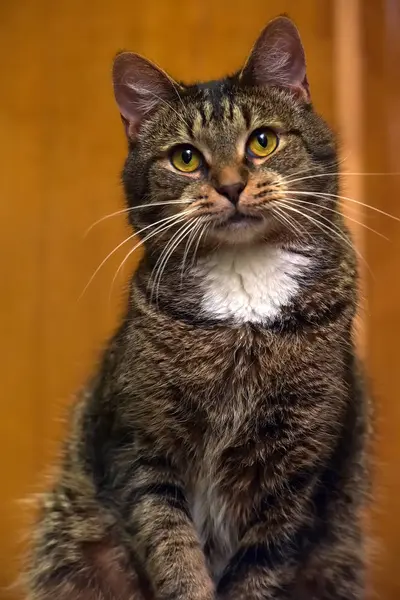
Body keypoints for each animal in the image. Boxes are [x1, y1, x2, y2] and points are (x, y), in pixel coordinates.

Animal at [25, 12, 370, 600]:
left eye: (262, 142)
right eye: (186, 157)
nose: (231, 186)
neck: (244, 294)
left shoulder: (298, 477)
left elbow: (260, 569)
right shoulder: (139, 448)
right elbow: (173, 550)